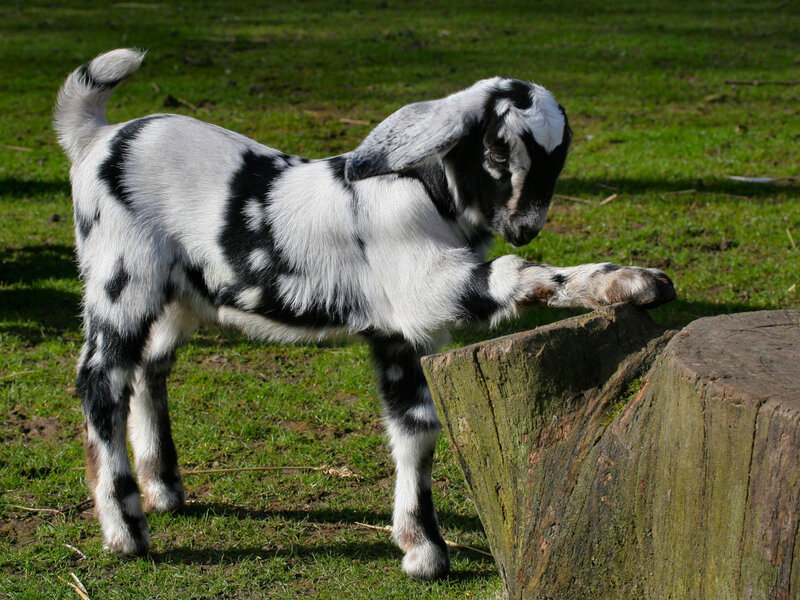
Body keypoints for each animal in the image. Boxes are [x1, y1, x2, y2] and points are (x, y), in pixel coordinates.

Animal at [54, 49, 675, 580]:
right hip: (121, 274)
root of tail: (97, 136)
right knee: (100, 379)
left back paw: (163, 490)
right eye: (499, 152)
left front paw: (421, 550)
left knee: (148, 369)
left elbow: (417, 427)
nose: (525, 227)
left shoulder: (402, 335)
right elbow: (518, 274)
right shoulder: (428, 291)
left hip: (179, 295)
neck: (426, 191)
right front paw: (628, 281)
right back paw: (126, 529)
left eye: (559, 159)